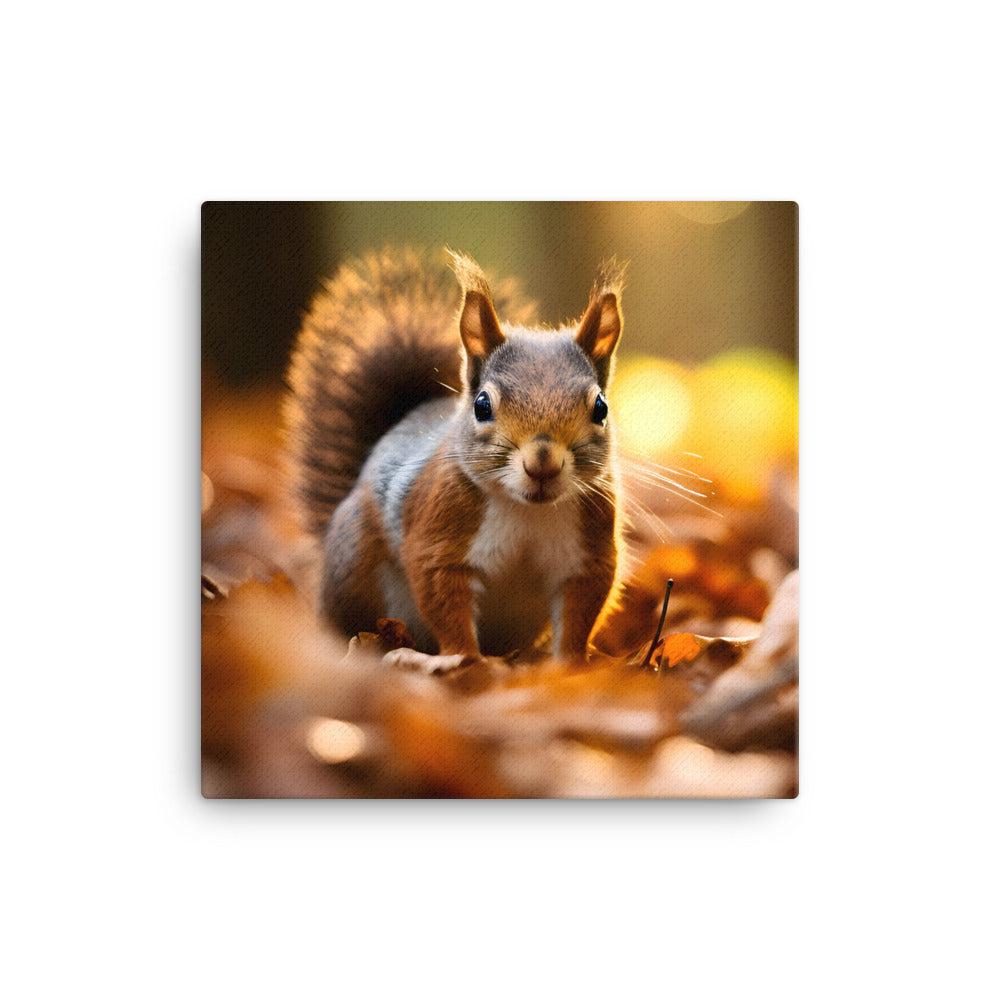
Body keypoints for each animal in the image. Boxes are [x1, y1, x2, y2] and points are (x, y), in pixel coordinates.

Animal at [284, 247, 626, 662]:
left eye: (600, 407)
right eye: (482, 405)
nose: (542, 463)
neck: (527, 511)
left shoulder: (586, 555)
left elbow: (579, 614)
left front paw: (570, 666)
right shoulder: (439, 537)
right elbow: (445, 602)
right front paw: (465, 660)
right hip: (350, 565)